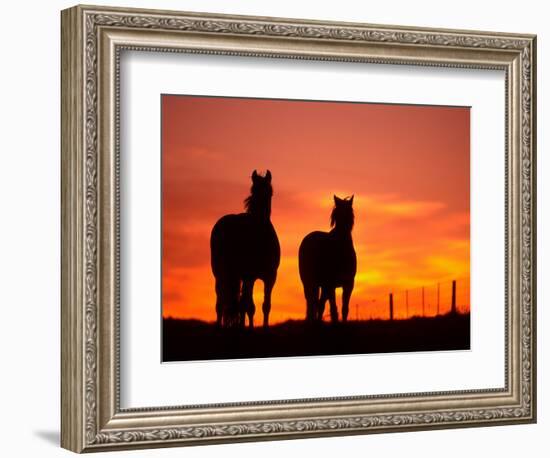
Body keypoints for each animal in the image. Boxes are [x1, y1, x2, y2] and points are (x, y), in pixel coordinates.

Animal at [210, 170, 282, 328]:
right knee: (221, 303)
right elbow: (248, 306)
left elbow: (265, 305)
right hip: (221, 274)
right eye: (253, 190)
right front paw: (247, 328)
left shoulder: (270, 277)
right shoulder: (250, 275)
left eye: (270, 192)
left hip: (236, 275)